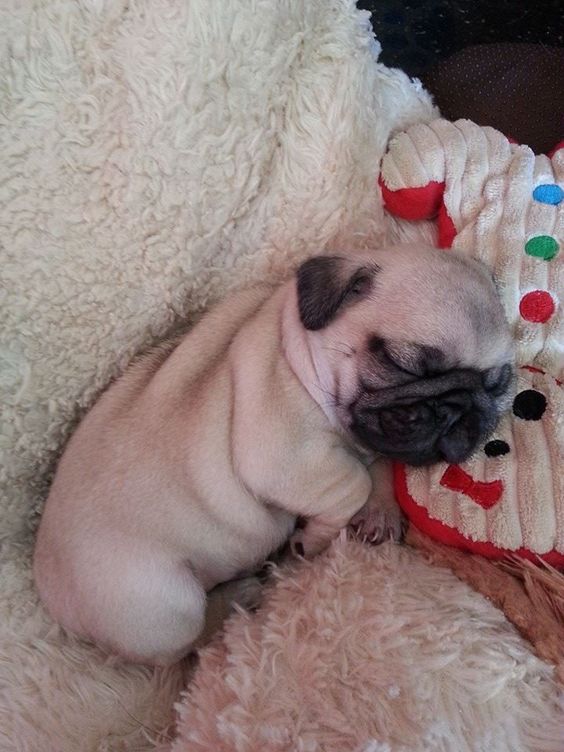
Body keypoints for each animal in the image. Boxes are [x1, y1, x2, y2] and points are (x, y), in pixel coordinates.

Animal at [33, 245, 512, 664]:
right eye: (403, 364)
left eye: (498, 384)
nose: (460, 408)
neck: (299, 354)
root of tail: (51, 593)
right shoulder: (285, 458)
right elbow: (353, 482)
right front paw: (314, 539)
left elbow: (376, 465)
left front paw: (380, 511)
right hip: (164, 605)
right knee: (180, 647)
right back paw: (237, 596)